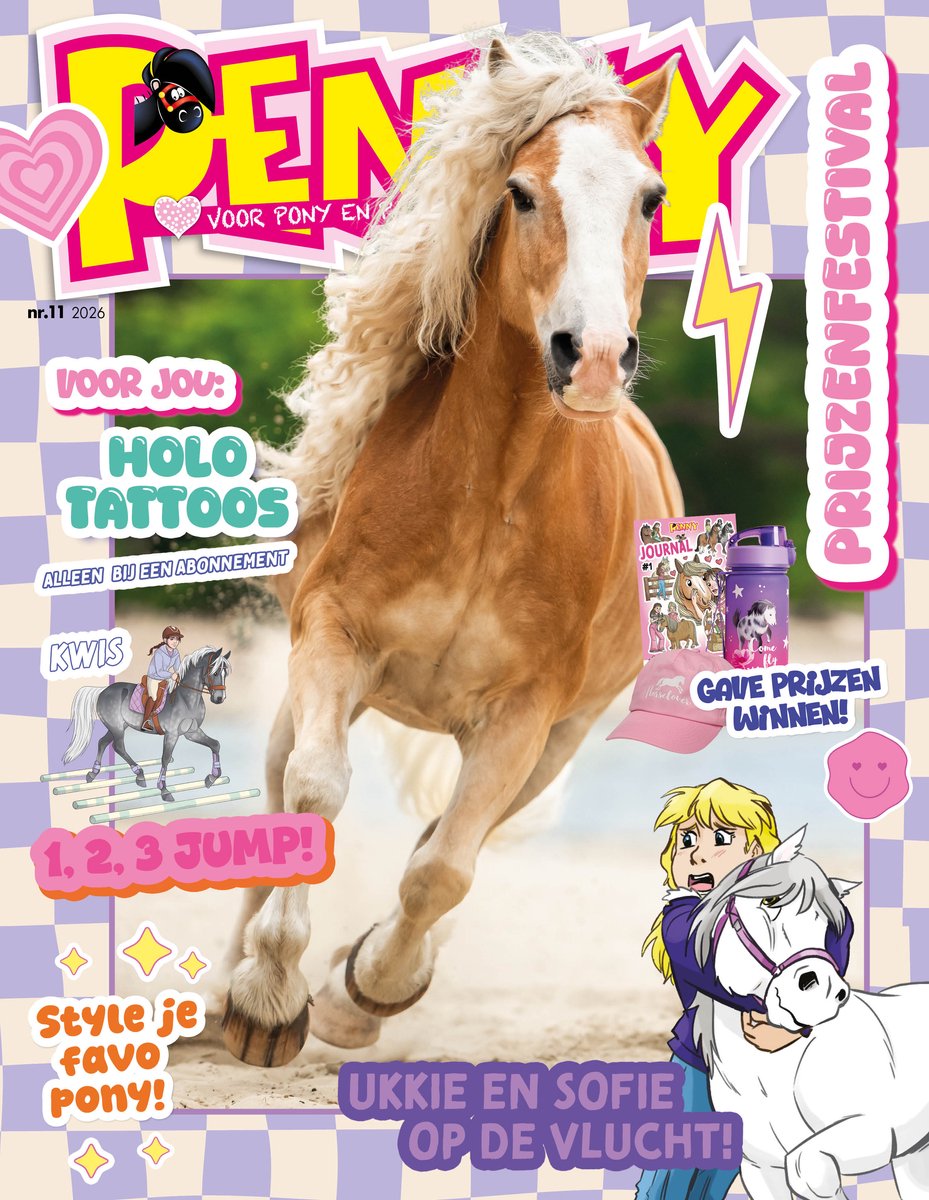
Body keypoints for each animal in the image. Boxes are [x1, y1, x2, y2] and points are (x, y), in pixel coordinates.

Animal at [62, 645, 231, 797]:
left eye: (225, 674)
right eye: (215, 672)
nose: (219, 698)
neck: (186, 699)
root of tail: (102, 691)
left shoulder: (192, 732)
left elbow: (215, 744)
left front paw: (212, 778)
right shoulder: (171, 735)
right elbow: (165, 758)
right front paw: (164, 789)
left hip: (118, 727)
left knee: (102, 742)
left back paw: (93, 774)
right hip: (116, 727)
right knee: (118, 747)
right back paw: (139, 774)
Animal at [221, 33, 683, 1068]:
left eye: (649, 197)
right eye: (519, 192)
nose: (593, 358)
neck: (492, 497)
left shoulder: (524, 717)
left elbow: (442, 871)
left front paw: (359, 994)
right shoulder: (334, 642)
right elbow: (313, 796)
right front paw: (265, 1001)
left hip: (556, 740)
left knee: (447, 840)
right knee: (274, 796)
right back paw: (222, 995)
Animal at [690, 829, 929, 1200]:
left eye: (826, 923)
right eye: (770, 901)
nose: (823, 993)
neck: (772, 1073)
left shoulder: (875, 1131)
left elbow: (806, 1167)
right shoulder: (760, 1169)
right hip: (914, 1156)